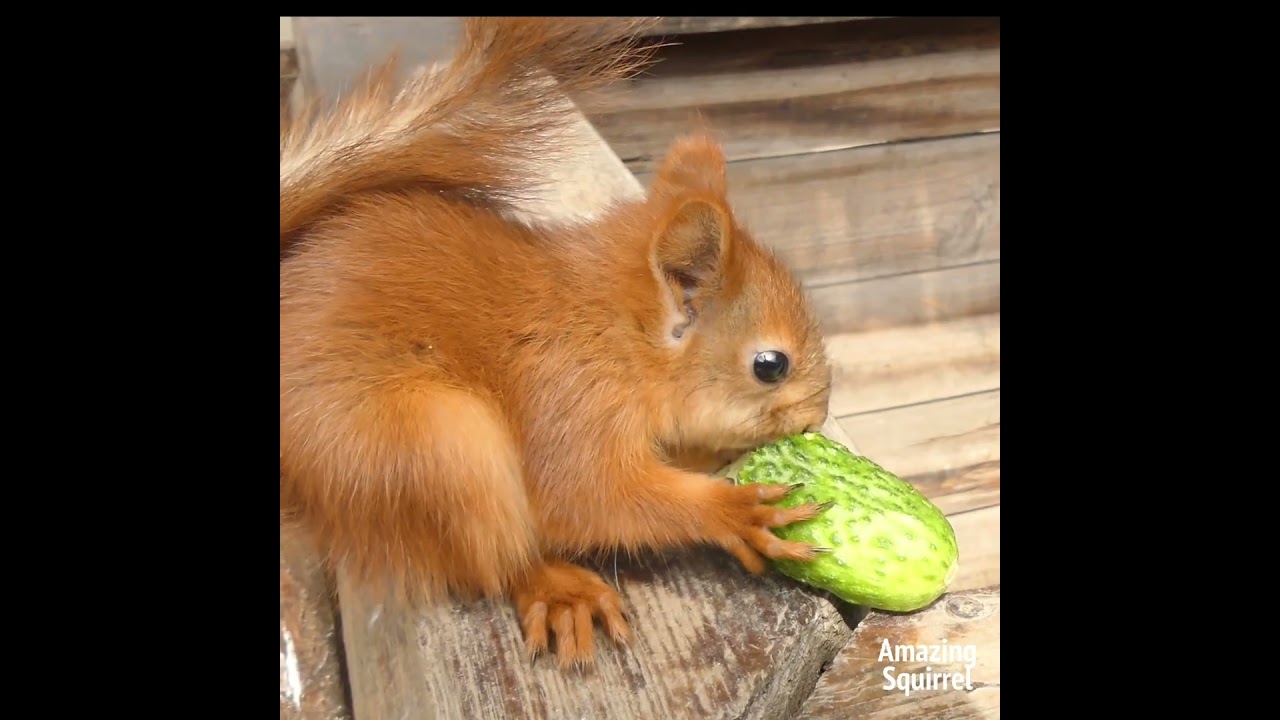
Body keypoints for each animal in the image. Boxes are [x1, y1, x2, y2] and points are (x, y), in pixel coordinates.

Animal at [280, 17, 834, 669]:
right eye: (770, 365)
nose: (818, 416)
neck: (617, 334)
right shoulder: (571, 399)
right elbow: (587, 500)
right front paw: (734, 511)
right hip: (431, 444)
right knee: (491, 562)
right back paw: (556, 587)